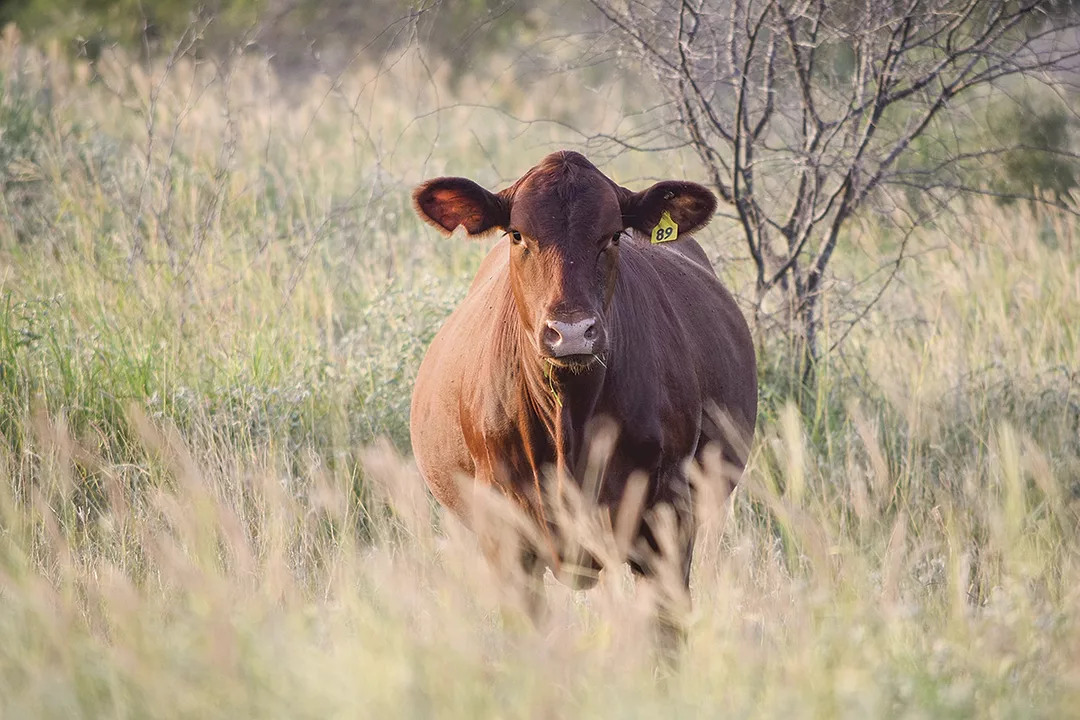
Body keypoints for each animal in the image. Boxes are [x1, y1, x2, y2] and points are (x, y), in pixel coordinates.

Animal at [409, 150, 757, 652]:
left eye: (612, 235)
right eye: (518, 234)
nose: (572, 332)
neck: (568, 421)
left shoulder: (668, 520)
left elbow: (664, 635)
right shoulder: (506, 535)